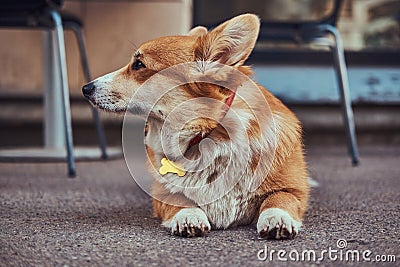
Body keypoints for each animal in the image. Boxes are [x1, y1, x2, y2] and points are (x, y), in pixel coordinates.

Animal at [83, 13, 310, 240]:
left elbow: (279, 199)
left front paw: (277, 218)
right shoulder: (163, 194)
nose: (85, 88)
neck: (207, 135)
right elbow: (180, 200)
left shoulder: (293, 190)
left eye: (138, 64)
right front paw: (188, 217)